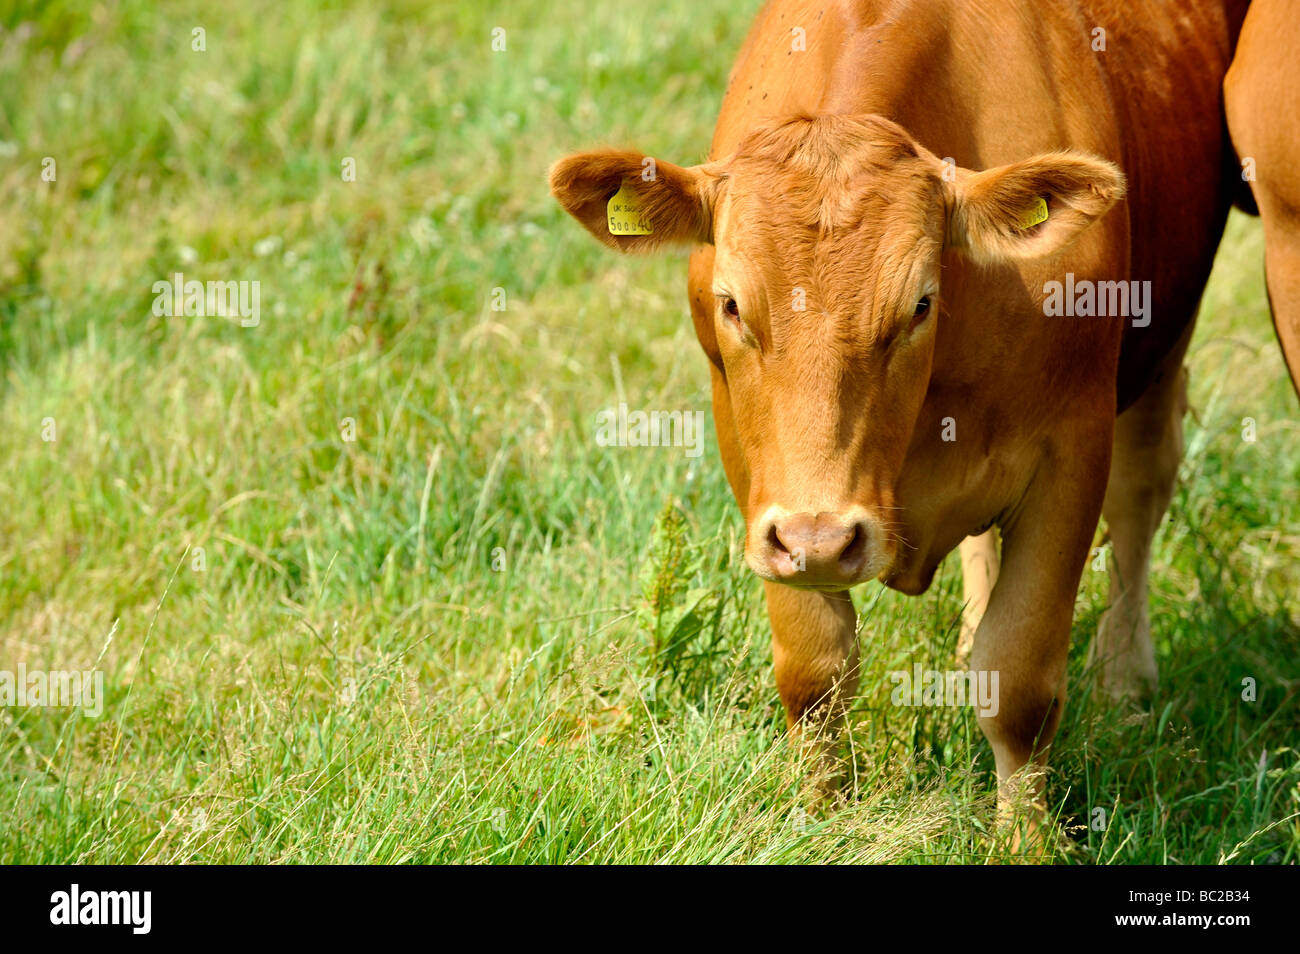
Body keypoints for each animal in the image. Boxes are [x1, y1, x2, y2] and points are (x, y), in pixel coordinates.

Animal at [550, 0, 1251, 827]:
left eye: (919, 304)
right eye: (731, 304)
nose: (822, 540)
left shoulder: (1070, 451)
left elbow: (1020, 681)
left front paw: (1025, 836)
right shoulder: (761, 479)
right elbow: (816, 671)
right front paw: (817, 816)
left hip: (1163, 340)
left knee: (1142, 492)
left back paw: (1125, 680)